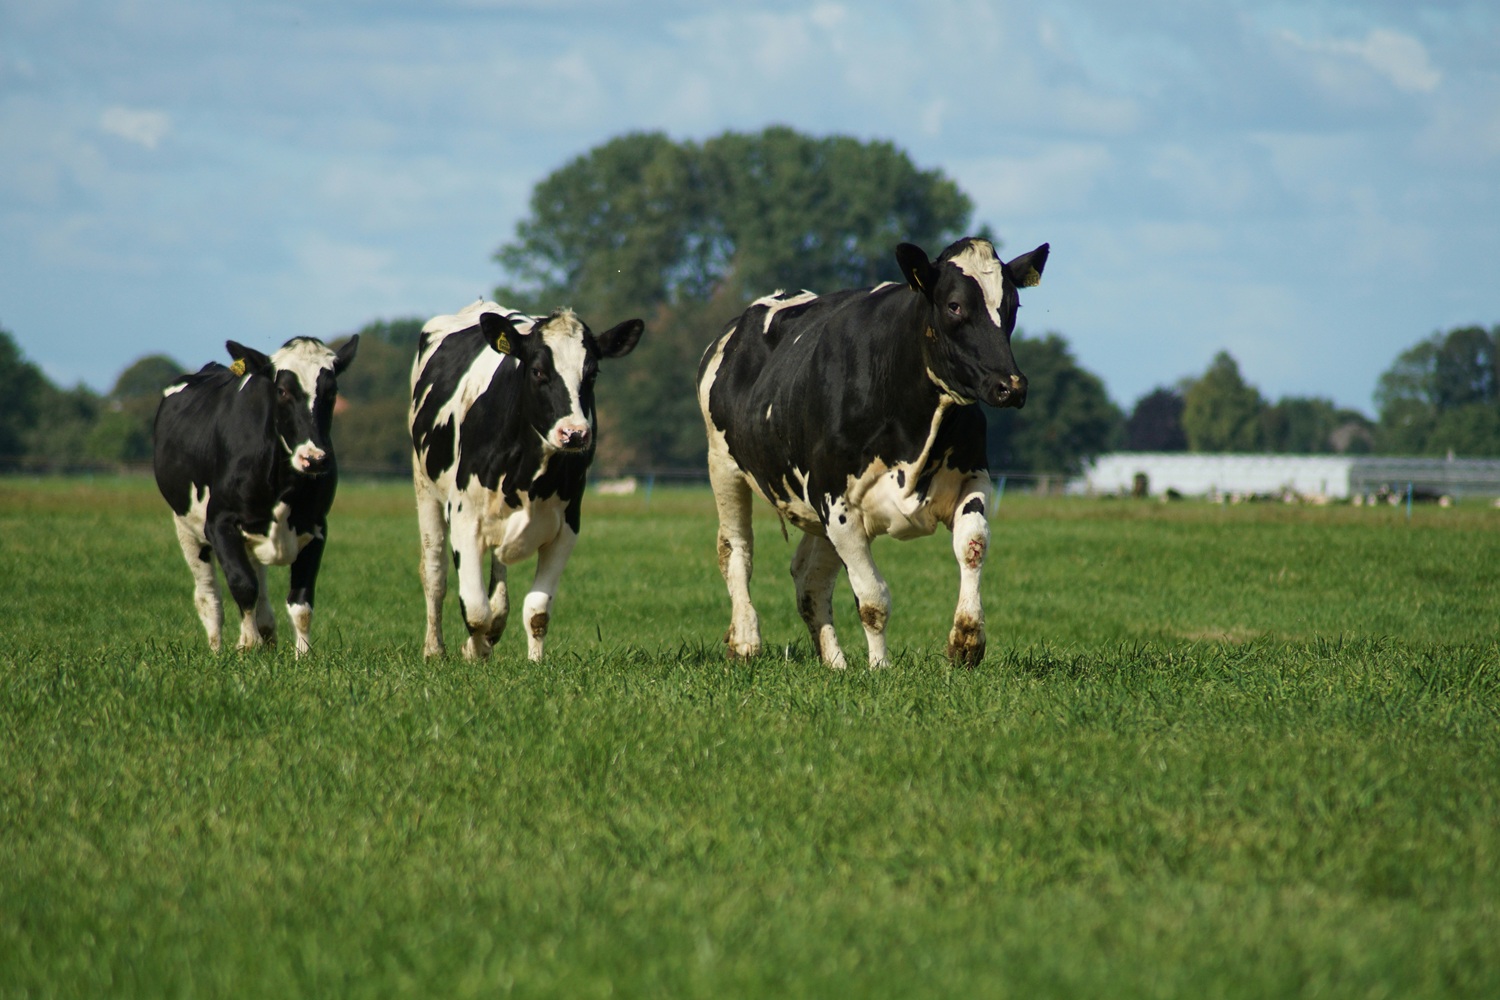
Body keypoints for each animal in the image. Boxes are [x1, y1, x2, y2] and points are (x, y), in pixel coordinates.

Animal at [153, 335, 359, 656]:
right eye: (282, 390)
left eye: (331, 391)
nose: (314, 459)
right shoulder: (220, 523)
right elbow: (242, 585)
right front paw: (247, 643)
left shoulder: (316, 526)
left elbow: (301, 602)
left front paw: (303, 656)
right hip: (187, 527)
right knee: (209, 596)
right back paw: (217, 648)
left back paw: (266, 631)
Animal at [409, 300, 643, 661]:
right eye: (538, 372)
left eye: (591, 374)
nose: (575, 433)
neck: (529, 473)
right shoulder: (464, 518)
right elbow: (474, 609)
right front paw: (474, 651)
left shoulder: (566, 527)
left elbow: (537, 611)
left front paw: (534, 662)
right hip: (425, 488)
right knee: (435, 572)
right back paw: (435, 649)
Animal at [696, 236, 1049, 669]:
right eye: (954, 305)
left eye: (1012, 306)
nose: (1010, 385)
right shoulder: (837, 503)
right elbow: (872, 600)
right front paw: (880, 668)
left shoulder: (972, 475)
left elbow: (973, 545)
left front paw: (966, 639)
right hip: (723, 465)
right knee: (736, 551)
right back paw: (746, 641)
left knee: (809, 578)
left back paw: (835, 663)